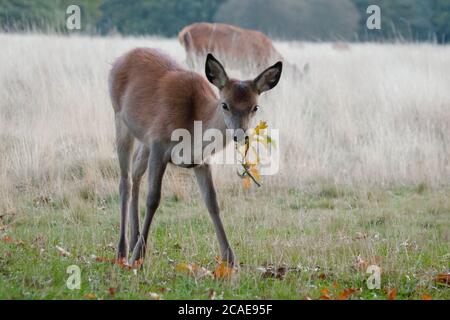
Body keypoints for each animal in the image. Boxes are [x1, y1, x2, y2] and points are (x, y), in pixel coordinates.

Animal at [108, 48, 282, 264]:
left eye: (255, 107)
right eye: (225, 104)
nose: (241, 135)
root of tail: (121, 58)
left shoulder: (201, 161)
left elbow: (212, 202)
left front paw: (230, 259)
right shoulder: (159, 144)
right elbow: (153, 199)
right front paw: (138, 257)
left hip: (144, 139)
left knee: (136, 172)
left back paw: (133, 240)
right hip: (119, 118)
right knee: (125, 181)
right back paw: (123, 250)